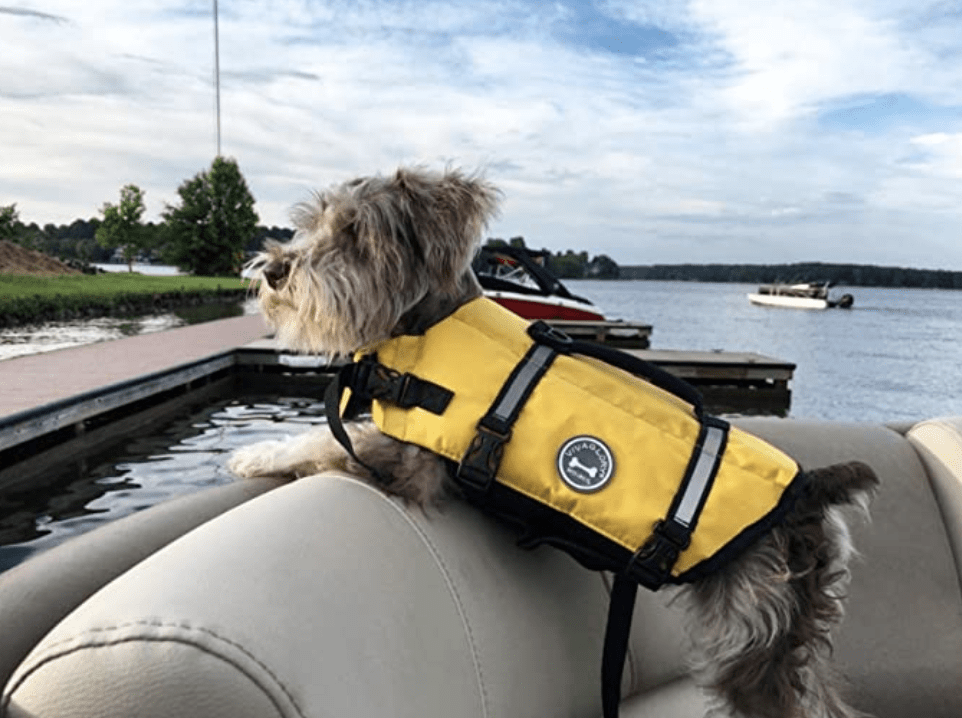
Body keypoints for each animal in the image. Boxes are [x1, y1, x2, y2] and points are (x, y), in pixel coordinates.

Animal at [231, 167, 876, 718]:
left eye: (357, 233)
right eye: (311, 222)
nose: (275, 269)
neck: (428, 329)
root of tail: (811, 492)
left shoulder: (413, 463)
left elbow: (322, 440)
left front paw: (253, 454)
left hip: (753, 637)